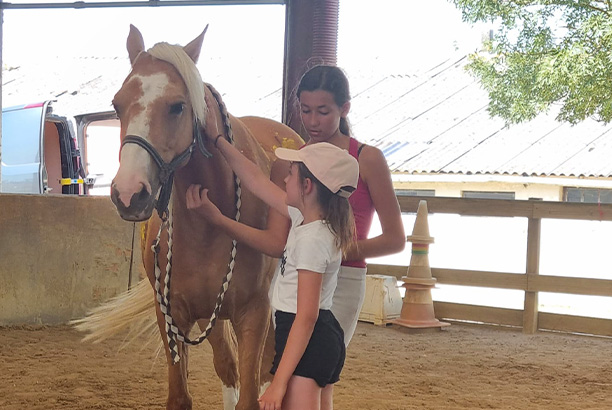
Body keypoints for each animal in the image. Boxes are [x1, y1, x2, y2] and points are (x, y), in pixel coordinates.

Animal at [91, 25, 304, 410]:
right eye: (117, 105)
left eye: (177, 106)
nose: (129, 193)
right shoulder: (173, 314)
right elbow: (183, 395)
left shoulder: (254, 312)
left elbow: (253, 393)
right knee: (227, 365)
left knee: (270, 366)